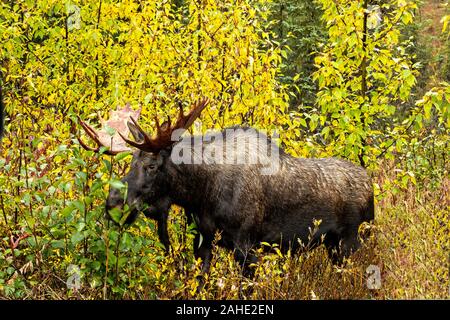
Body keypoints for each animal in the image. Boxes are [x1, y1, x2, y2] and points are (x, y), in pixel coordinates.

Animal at [77, 99, 372, 276]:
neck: (201, 193)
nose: (113, 203)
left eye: (151, 166)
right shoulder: (202, 242)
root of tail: (371, 186)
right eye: (131, 163)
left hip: (350, 242)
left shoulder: (247, 247)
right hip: (333, 246)